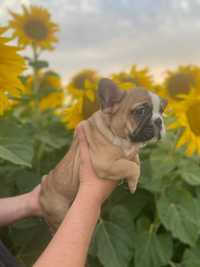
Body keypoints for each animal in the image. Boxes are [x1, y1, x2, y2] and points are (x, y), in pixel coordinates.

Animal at [39, 78, 167, 231]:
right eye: (141, 111)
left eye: (161, 111)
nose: (159, 120)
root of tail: (41, 194)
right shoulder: (105, 163)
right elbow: (131, 167)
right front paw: (133, 183)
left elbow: (136, 163)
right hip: (58, 212)